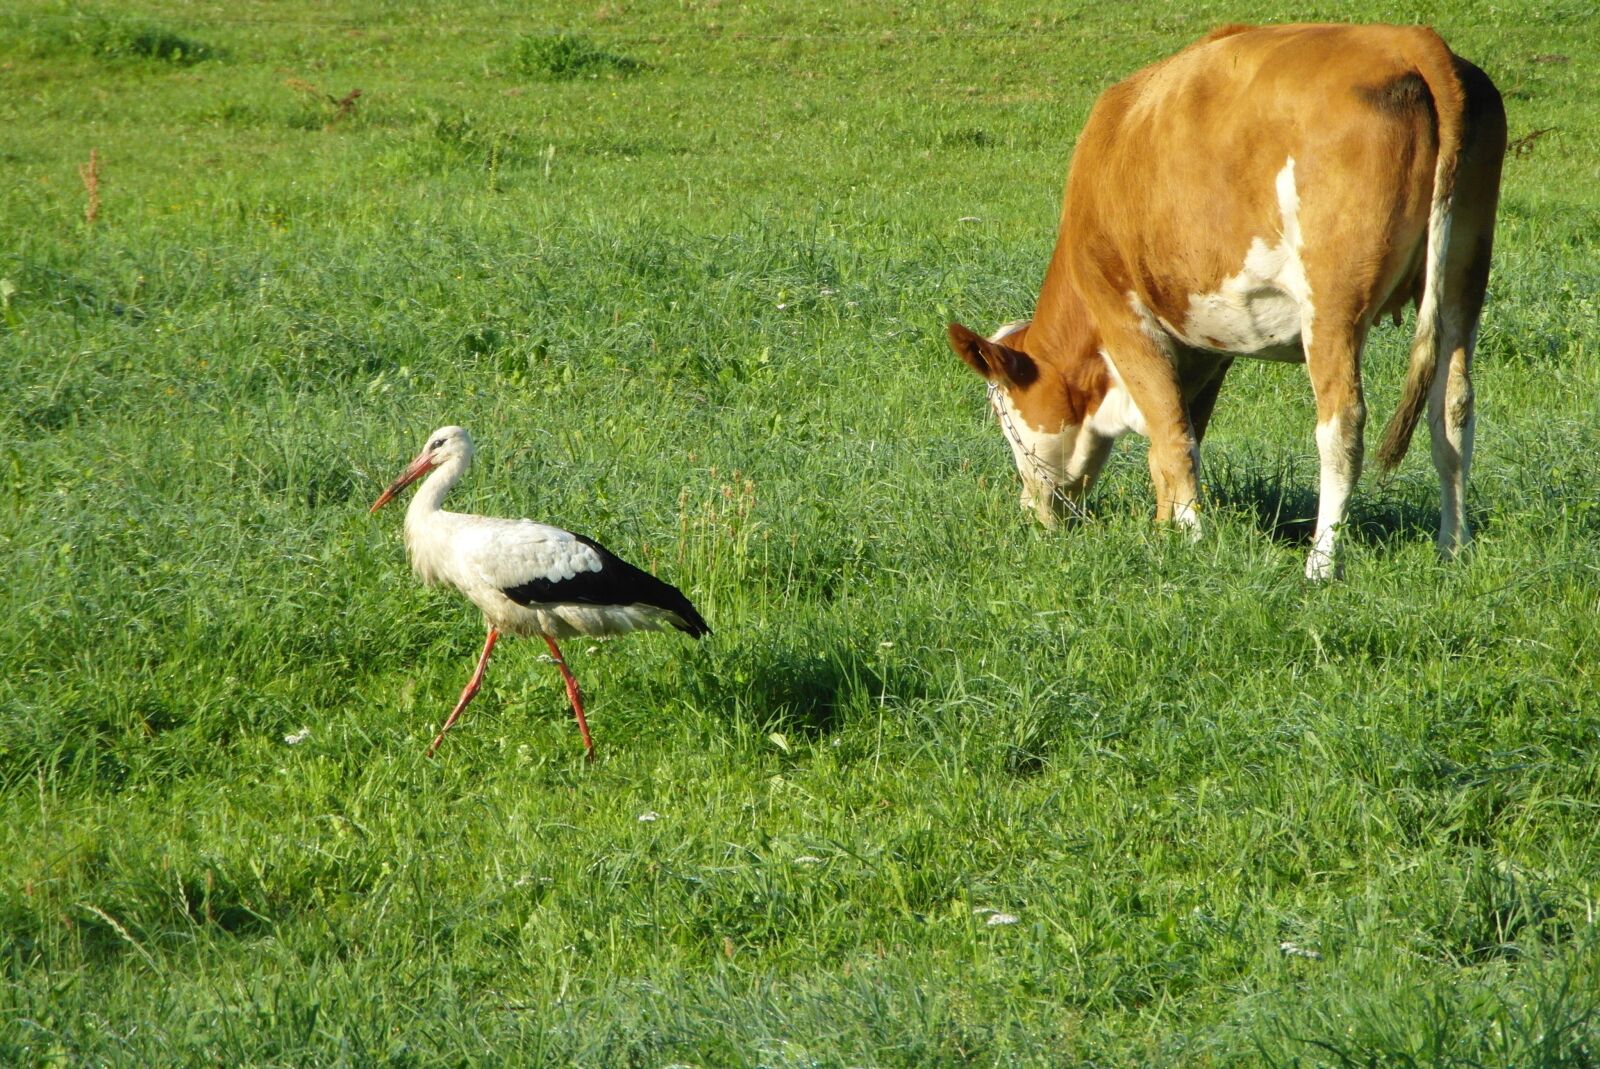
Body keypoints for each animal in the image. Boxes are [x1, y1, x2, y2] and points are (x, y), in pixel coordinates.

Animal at [947, 23, 1506, 578]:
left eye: (1003, 415)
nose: (1033, 512)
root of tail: (1407, 40)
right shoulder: (1202, 344)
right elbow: (1178, 434)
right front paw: (1165, 527)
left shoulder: (1124, 315)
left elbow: (1173, 440)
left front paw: (1190, 542)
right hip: (1463, 278)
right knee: (1452, 412)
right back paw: (1453, 548)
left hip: (1332, 302)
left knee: (1342, 426)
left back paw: (1322, 564)